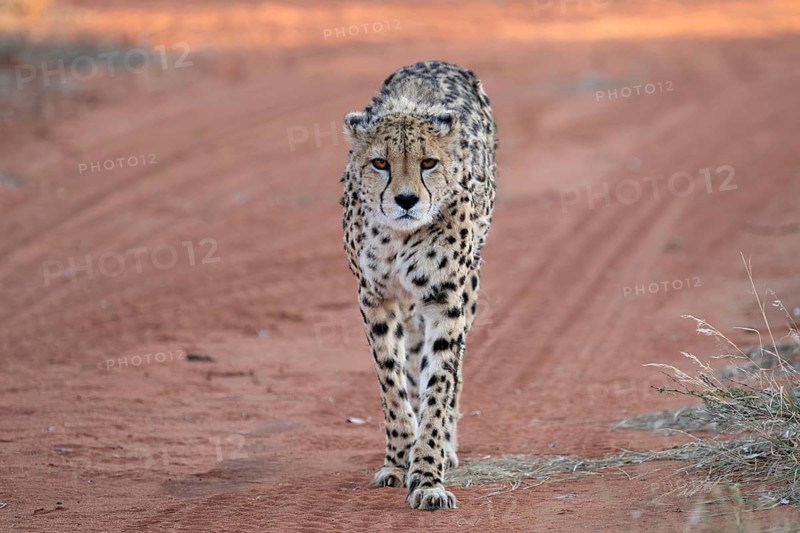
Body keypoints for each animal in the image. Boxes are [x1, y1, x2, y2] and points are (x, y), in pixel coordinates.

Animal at [340, 60, 497, 510]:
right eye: (379, 163)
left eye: (428, 163)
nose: (407, 200)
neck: (399, 236)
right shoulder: (375, 298)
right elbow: (392, 384)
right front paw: (399, 458)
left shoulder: (445, 300)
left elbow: (440, 382)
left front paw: (428, 475)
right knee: (411, 357)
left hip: (469, 286)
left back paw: (444, 446)